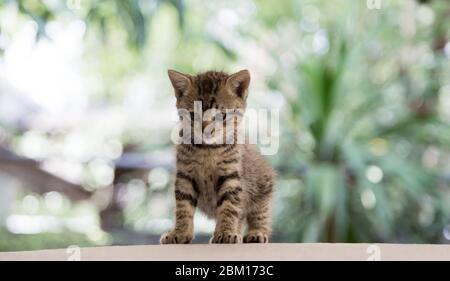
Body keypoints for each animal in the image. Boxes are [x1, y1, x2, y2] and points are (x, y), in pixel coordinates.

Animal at [160, 69, 276, 243]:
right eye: (193, 115)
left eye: (221, 115)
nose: (206, 129)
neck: (208, 149)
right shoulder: (184, 176)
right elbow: (183, 207)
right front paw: (180, 233)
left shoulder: (232, 176)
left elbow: (230, 207)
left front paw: (226, 232)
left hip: (263, 186)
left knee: (257, 214)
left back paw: (256, 233)